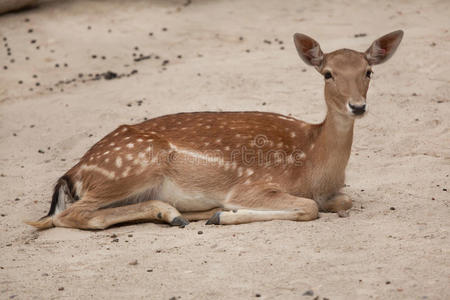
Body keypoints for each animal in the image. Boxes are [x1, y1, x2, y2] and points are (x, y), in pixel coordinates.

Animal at [26, 29, 402, 230]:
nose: (357, 106)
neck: (313, 164)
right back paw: (189, 214)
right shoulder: (253, 184)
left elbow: (345, 200)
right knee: (69, 216)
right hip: (131, 166)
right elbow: (308, 208)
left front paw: (220, 214)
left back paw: (183, 214)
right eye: (328, 74)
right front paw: (226, 214)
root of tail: (74, 173)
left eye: (368, 71)